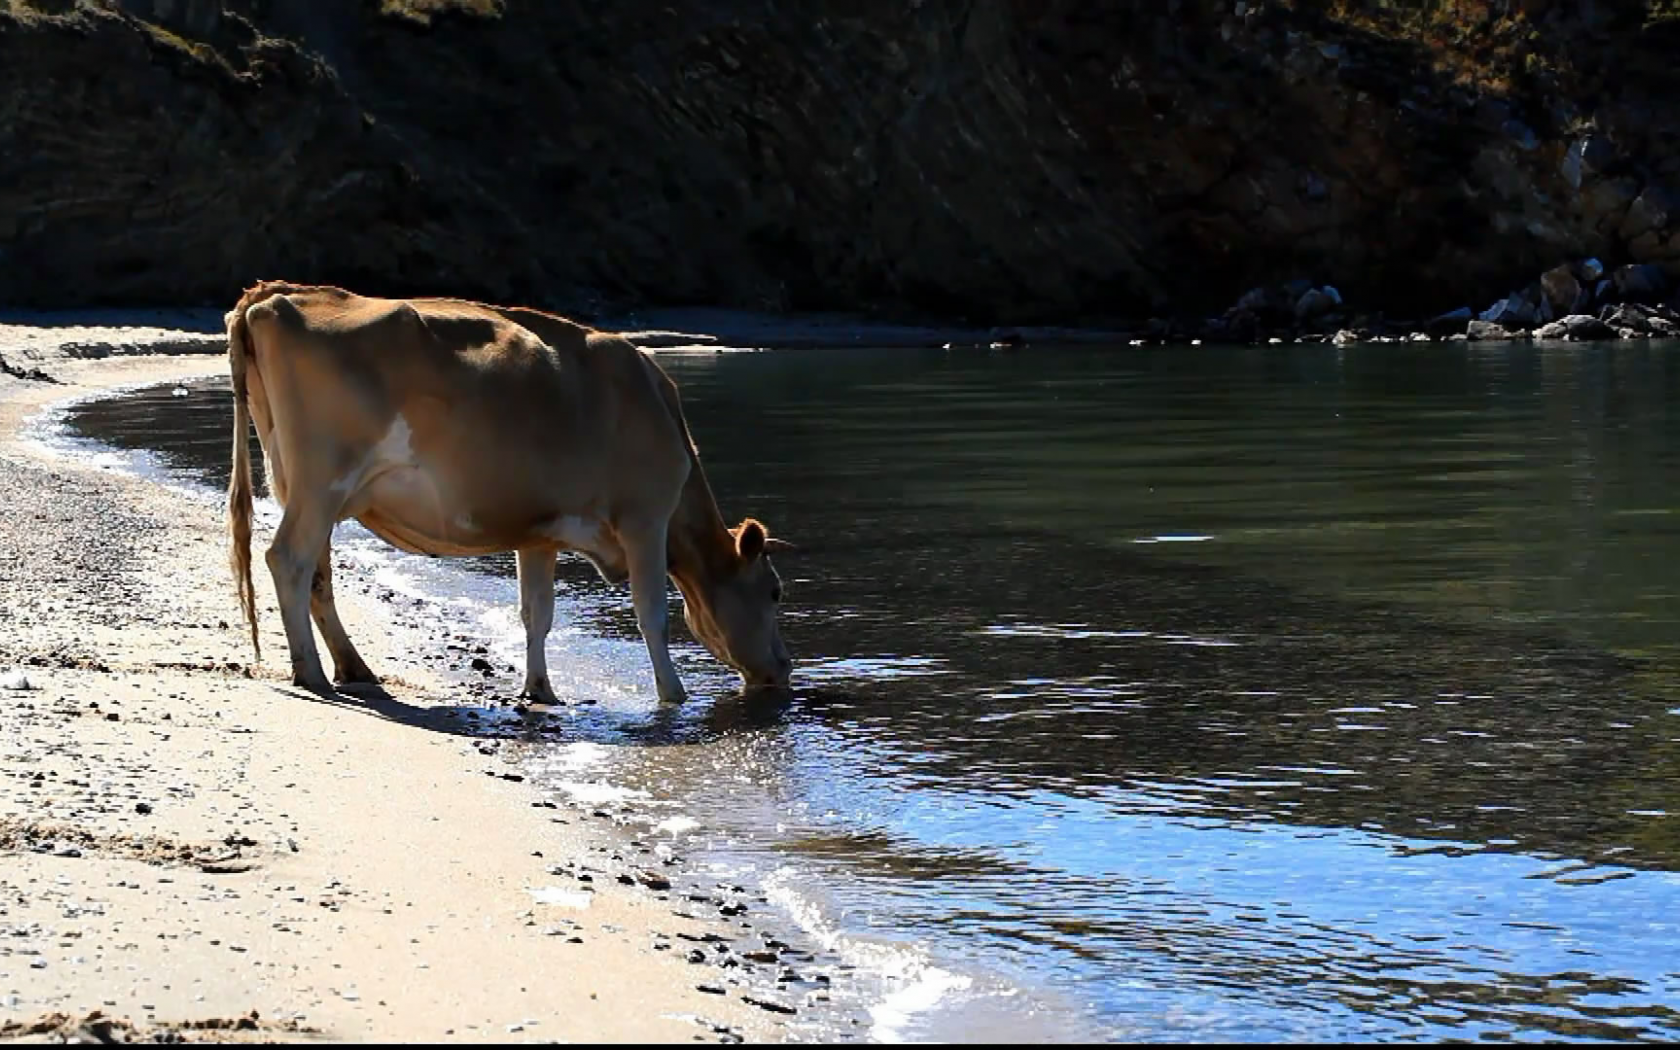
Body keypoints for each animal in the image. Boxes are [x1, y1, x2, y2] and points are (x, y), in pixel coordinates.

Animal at [223, 280, 792, 705]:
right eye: (774, 591)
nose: (784, 668)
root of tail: (279, 293)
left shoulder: (539, 532)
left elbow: (536, 613)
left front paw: (540, 690)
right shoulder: (645, 517)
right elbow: (651, 610)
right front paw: (673, 695)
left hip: (301, 486)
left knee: (318, 577)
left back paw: (352, 667)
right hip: (322, 479)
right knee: (288, 559)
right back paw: (312, 673)